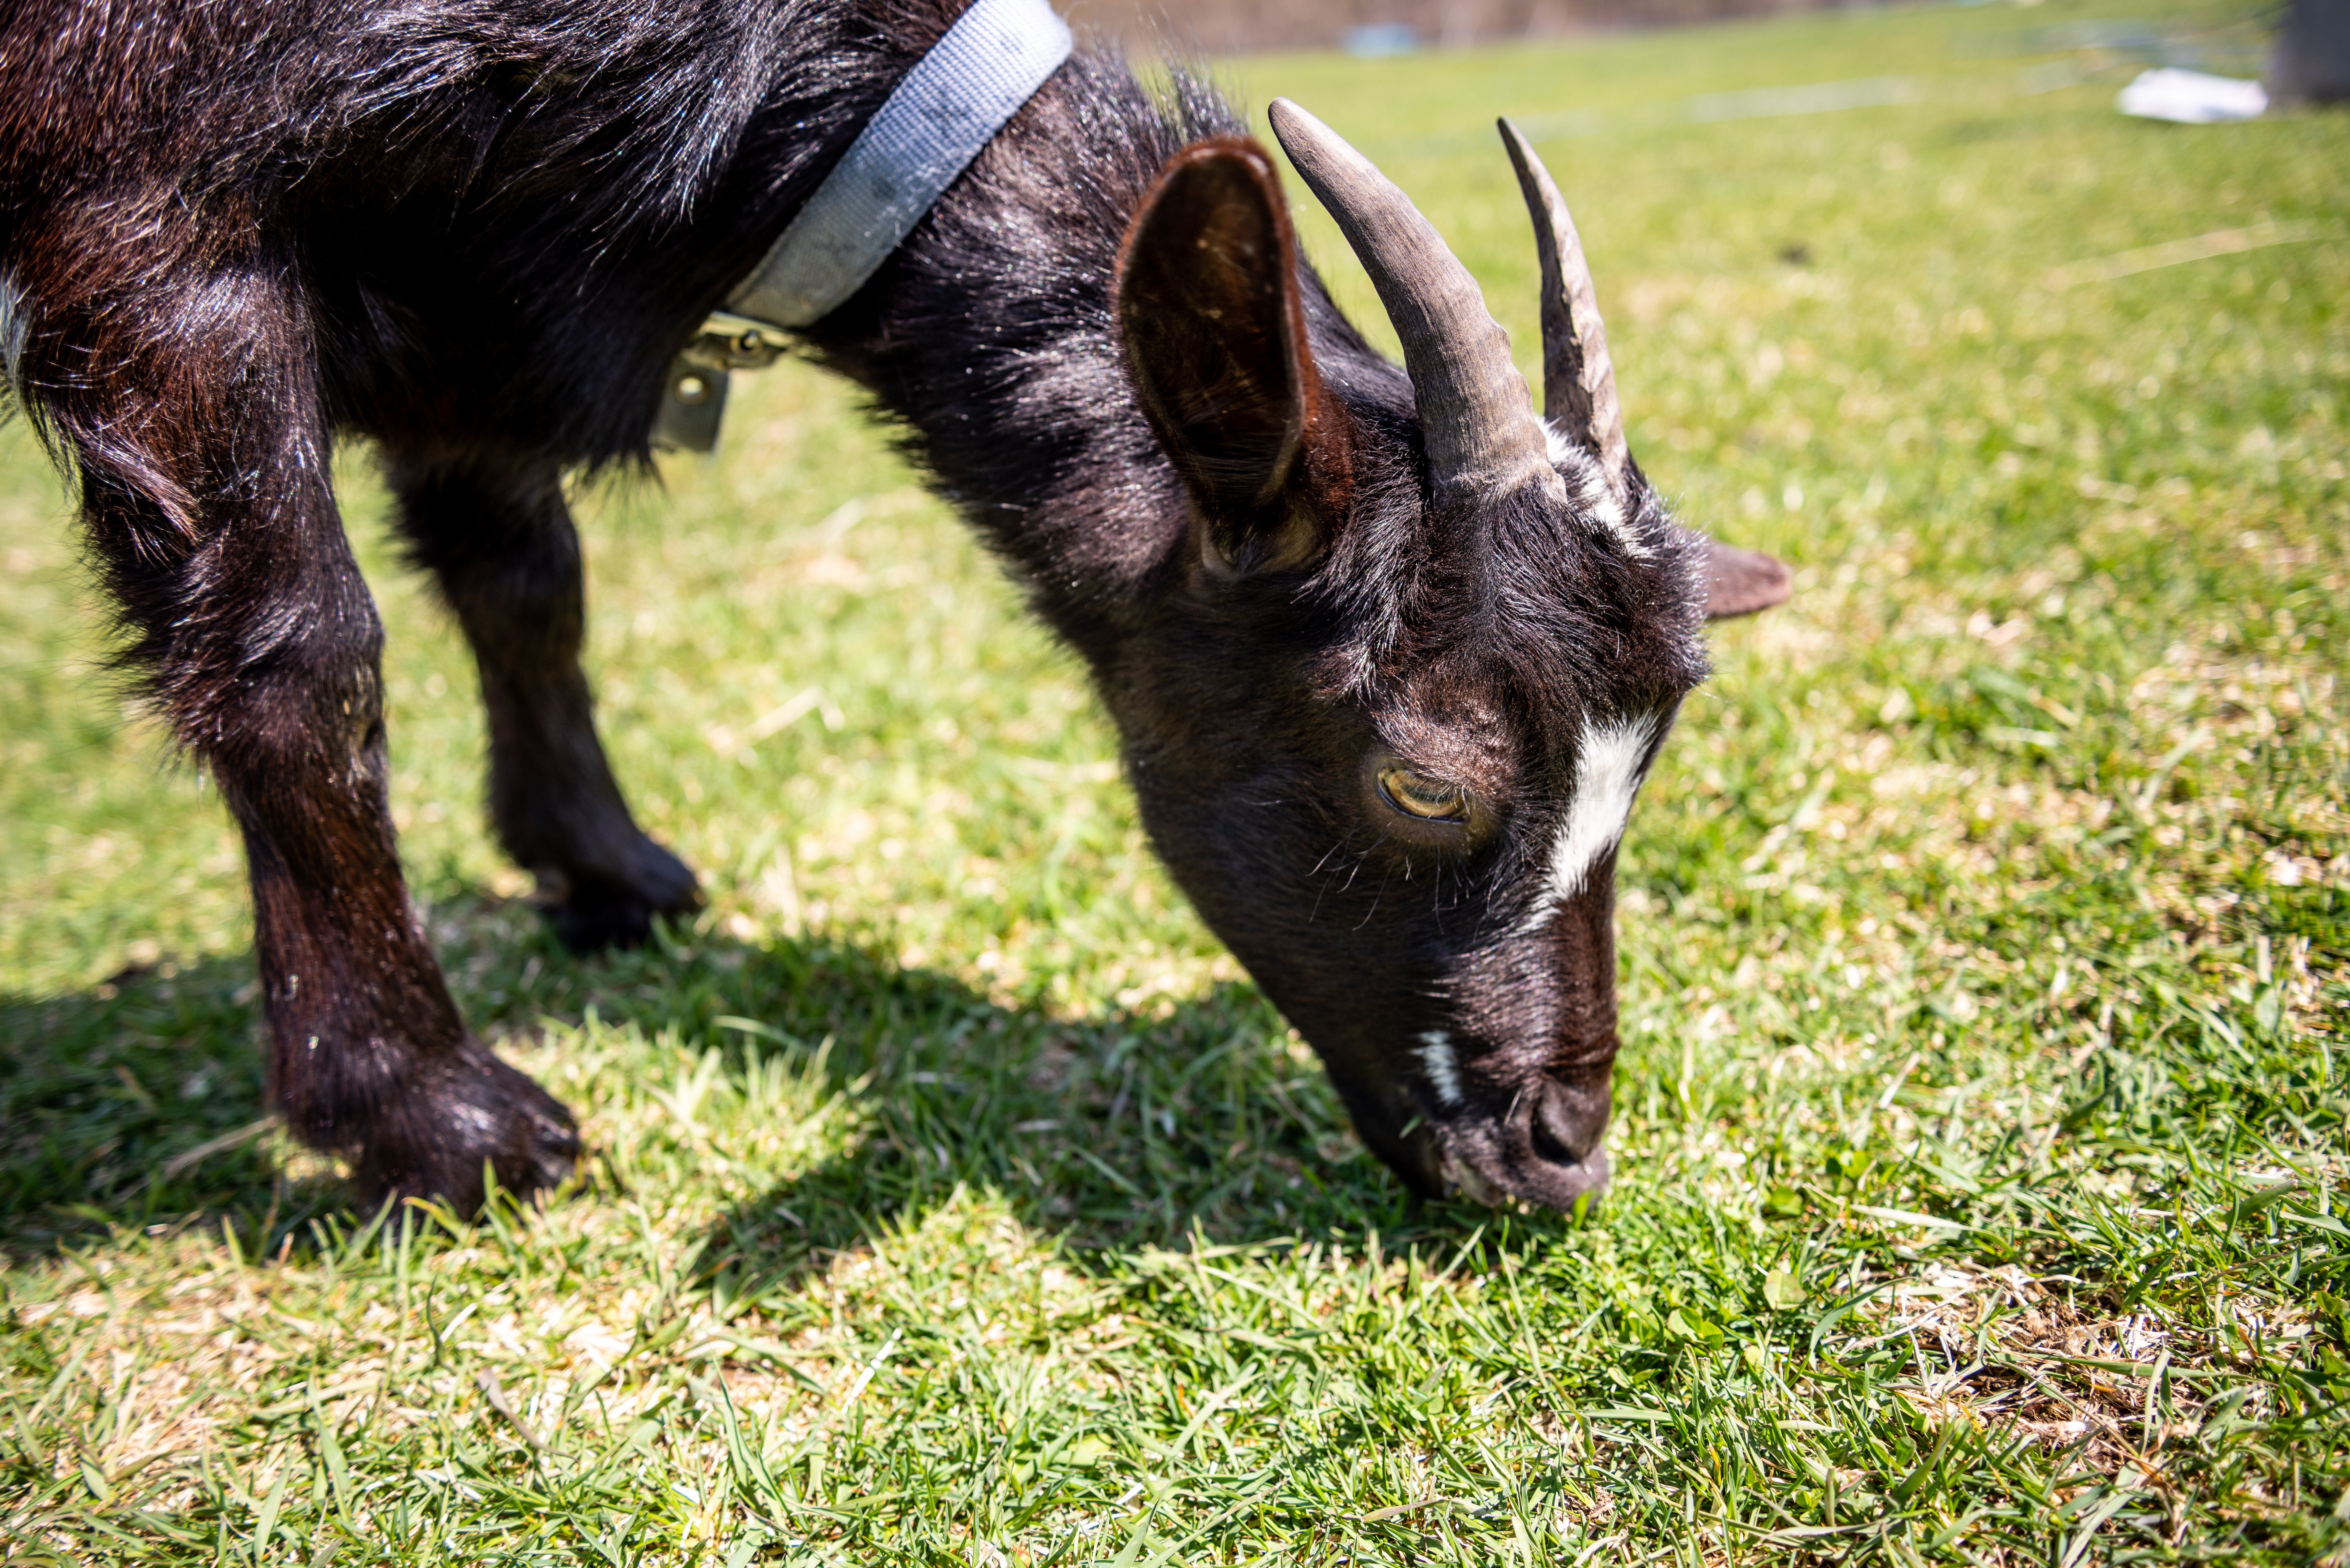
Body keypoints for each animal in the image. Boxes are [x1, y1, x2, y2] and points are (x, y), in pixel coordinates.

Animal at [0, 0, 1777, 1213]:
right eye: (1422, 778)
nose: (1558, 1149)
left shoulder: (473, 303)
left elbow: (523, 578)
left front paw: (602, 866)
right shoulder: (152, 210)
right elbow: (306, 659)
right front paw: (436, 1115)